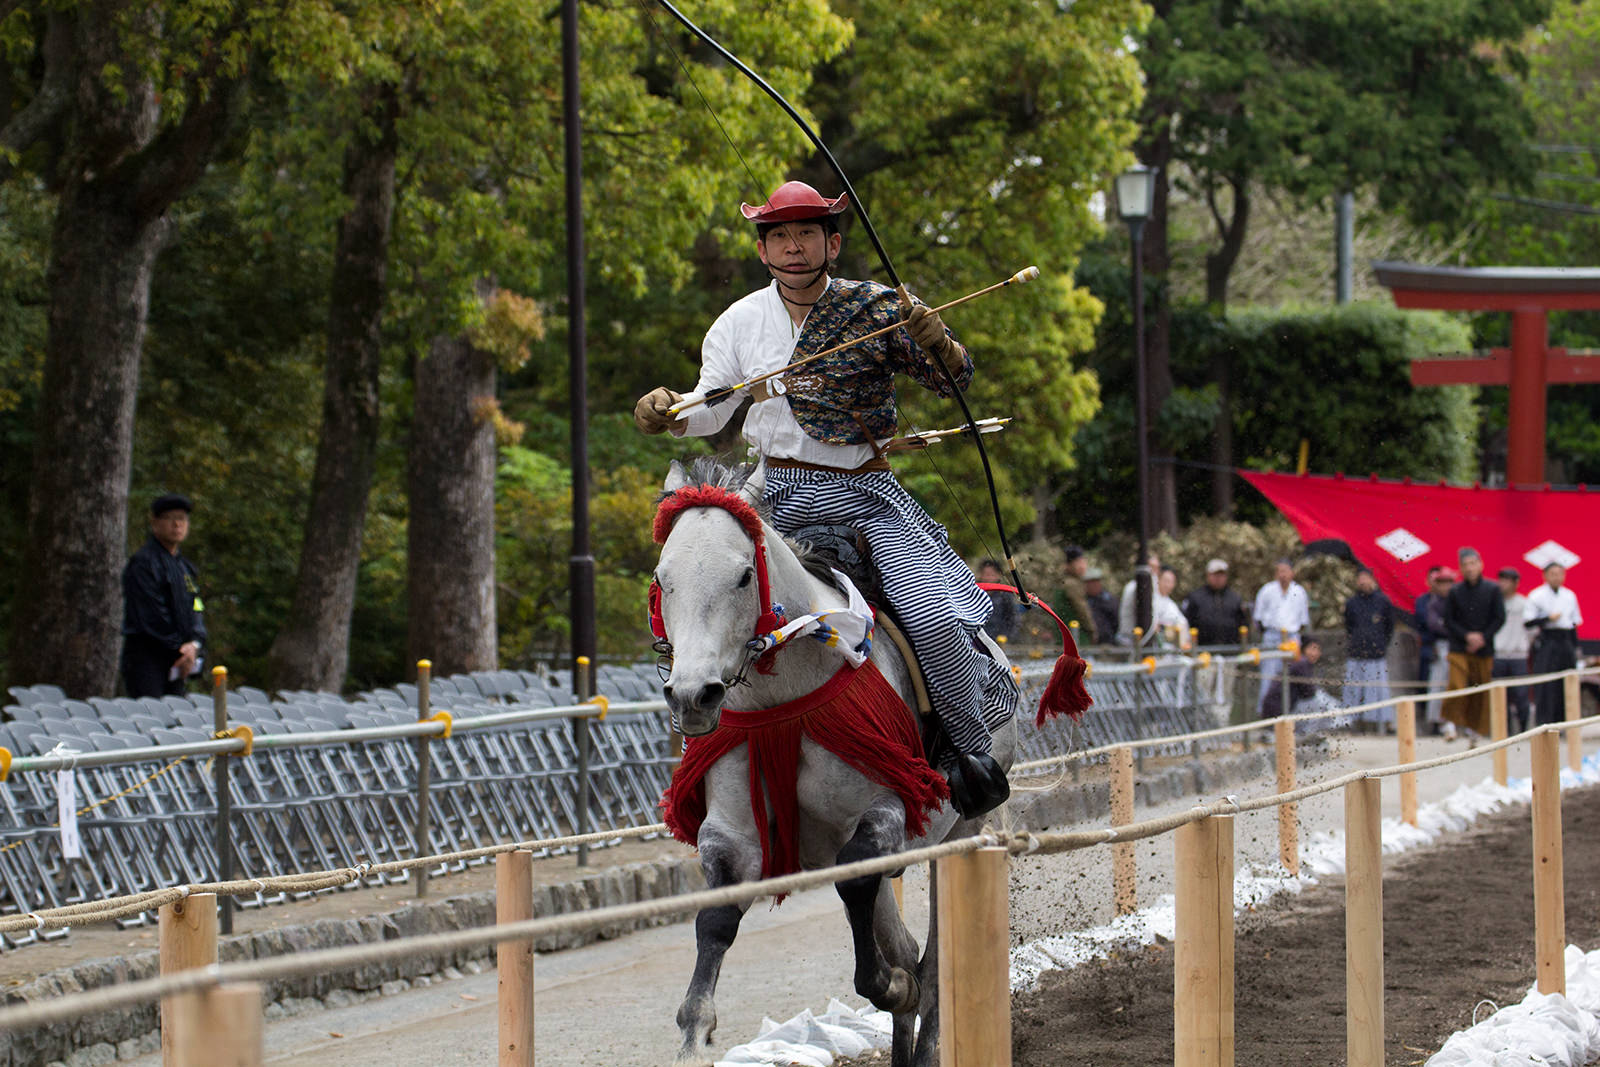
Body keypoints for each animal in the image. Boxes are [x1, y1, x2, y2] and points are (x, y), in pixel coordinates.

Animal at [649, 460, 1011, 1067]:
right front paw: (695, 1037)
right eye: (662, 578)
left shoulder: (887, 806)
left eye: (743, 577)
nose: (693, 695)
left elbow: (862, 888)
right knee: (906, 943)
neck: (789, 689)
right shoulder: (733, 834)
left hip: (965, 827)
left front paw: (892, 987)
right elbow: (716, 918)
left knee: (938, 961)